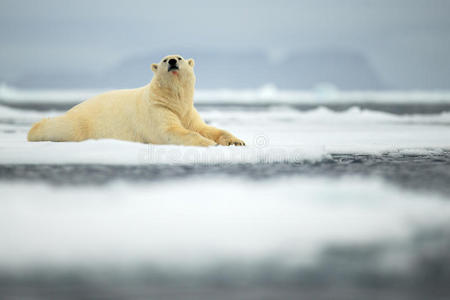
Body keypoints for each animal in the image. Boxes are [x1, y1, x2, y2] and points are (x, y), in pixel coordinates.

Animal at [27, 55, 246, 148]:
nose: (172, 61)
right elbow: (170, 131)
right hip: (80, 122)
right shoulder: (157, 110)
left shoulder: (188, 112)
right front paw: (208, 143)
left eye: (180, 58)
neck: (174, 99)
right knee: (60, 127)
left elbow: (205, 128)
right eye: (165, 59)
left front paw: (236, 141)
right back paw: (35, 130)